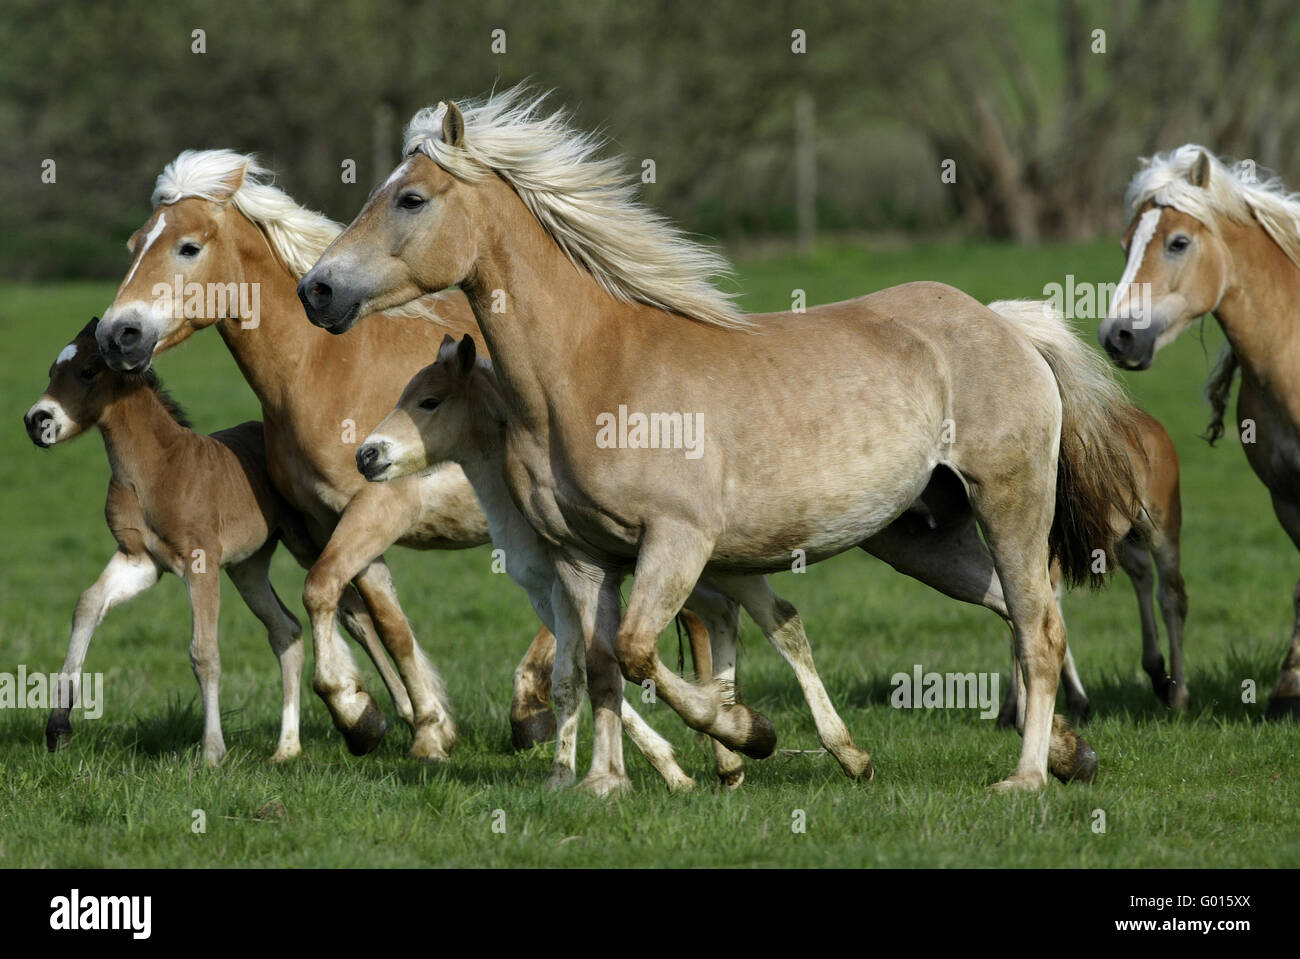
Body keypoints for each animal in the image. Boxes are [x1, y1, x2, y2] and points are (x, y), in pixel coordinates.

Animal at [24, 318, 305, 766]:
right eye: (53, 370)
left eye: (88, 371)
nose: (36, 420)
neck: (156, 470)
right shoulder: (139, 559)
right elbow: (88, 604)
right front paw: (58, 727)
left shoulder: (201, 563)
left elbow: (204, 653)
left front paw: (211, 752)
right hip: (248, 568)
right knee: (287, 630)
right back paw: (287, 749)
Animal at [299, 85, 1142, 792]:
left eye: (410, 197)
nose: (317, 289)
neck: (594, 369)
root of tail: (1005, 323)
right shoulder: (584, 557)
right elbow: (599, 664)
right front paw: (605, 784)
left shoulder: (678, 541)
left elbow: (640, 652)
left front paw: (748, 733)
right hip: (920, 537)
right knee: (1024, 613)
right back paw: (1071, 752)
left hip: (1009, 504)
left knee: (1038, 628)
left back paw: (1025, 778)